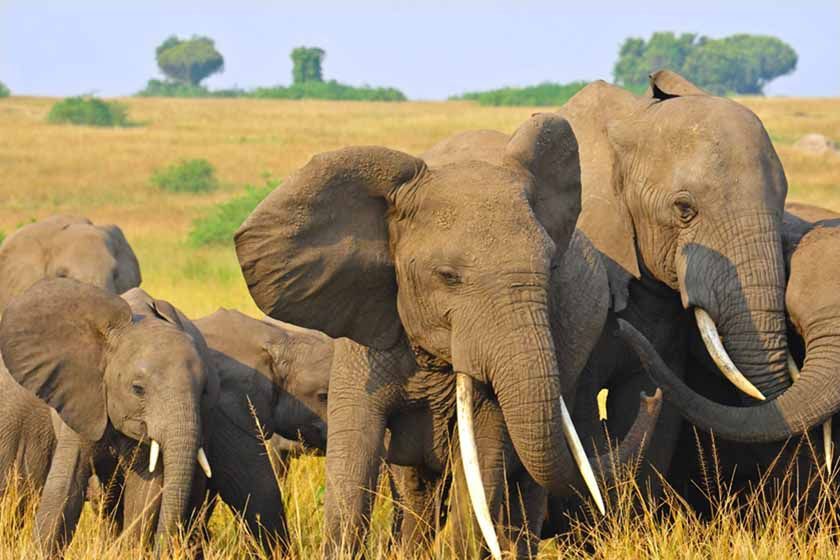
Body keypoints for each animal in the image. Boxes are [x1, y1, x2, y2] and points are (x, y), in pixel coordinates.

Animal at [0, 280, 215, 556]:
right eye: (138, 389)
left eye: (204, 391)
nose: (165, 550)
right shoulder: (82, 395)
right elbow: (65, 488)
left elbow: (145, 491)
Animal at [236, 112, 612, 556]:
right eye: (448, 277)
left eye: (552, 270)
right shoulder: (364, 326)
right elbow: (354, 452)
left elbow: (485, 453)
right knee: (417, 490)